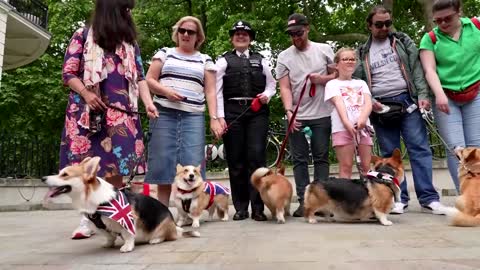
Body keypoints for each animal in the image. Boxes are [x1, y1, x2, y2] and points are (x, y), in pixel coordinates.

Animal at [41, 157, 199, 252]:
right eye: (60, 173)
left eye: (65, 175)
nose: (43, 178)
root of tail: (174, 226)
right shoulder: (100, 226)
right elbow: (109, 236)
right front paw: (108, 244)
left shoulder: (128, 220)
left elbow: (127, 234)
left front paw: (127, 246)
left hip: (163, 226)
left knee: (168, 236)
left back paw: (155, 239)